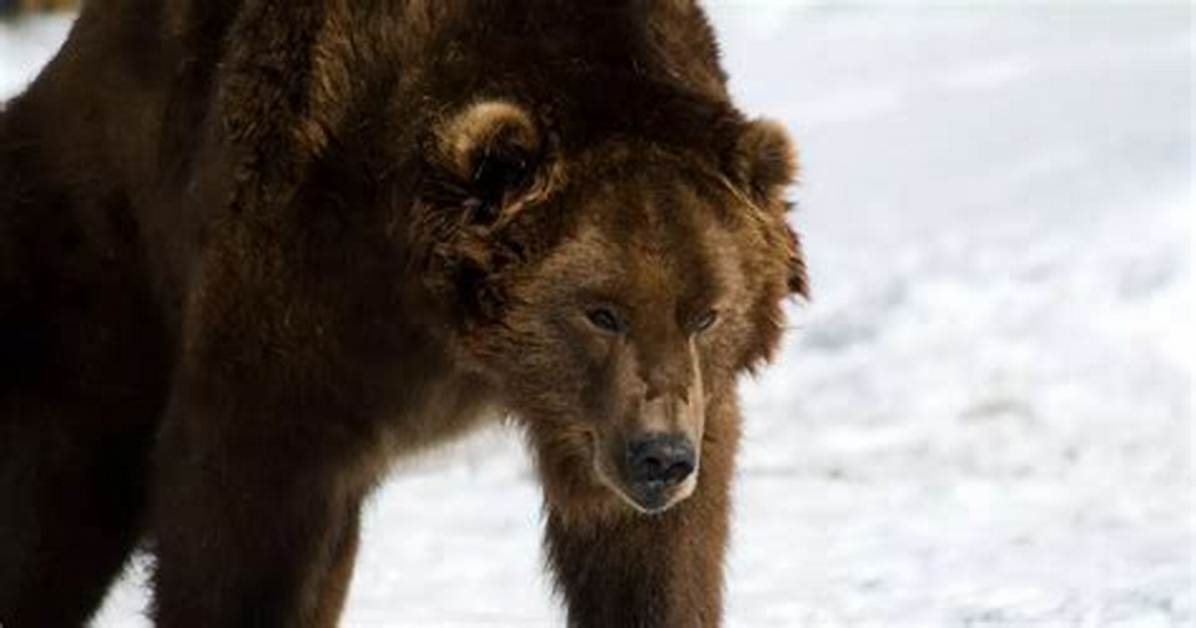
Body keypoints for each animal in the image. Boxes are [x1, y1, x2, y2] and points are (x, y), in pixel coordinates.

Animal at [0, 1, 808, 626]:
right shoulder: (304, 289)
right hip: (101, 264)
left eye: (706, 314)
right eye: (600, 312)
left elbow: (654, 556)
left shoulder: (650, 415)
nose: (660, 457)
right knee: (60, 504)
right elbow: (238, 504)